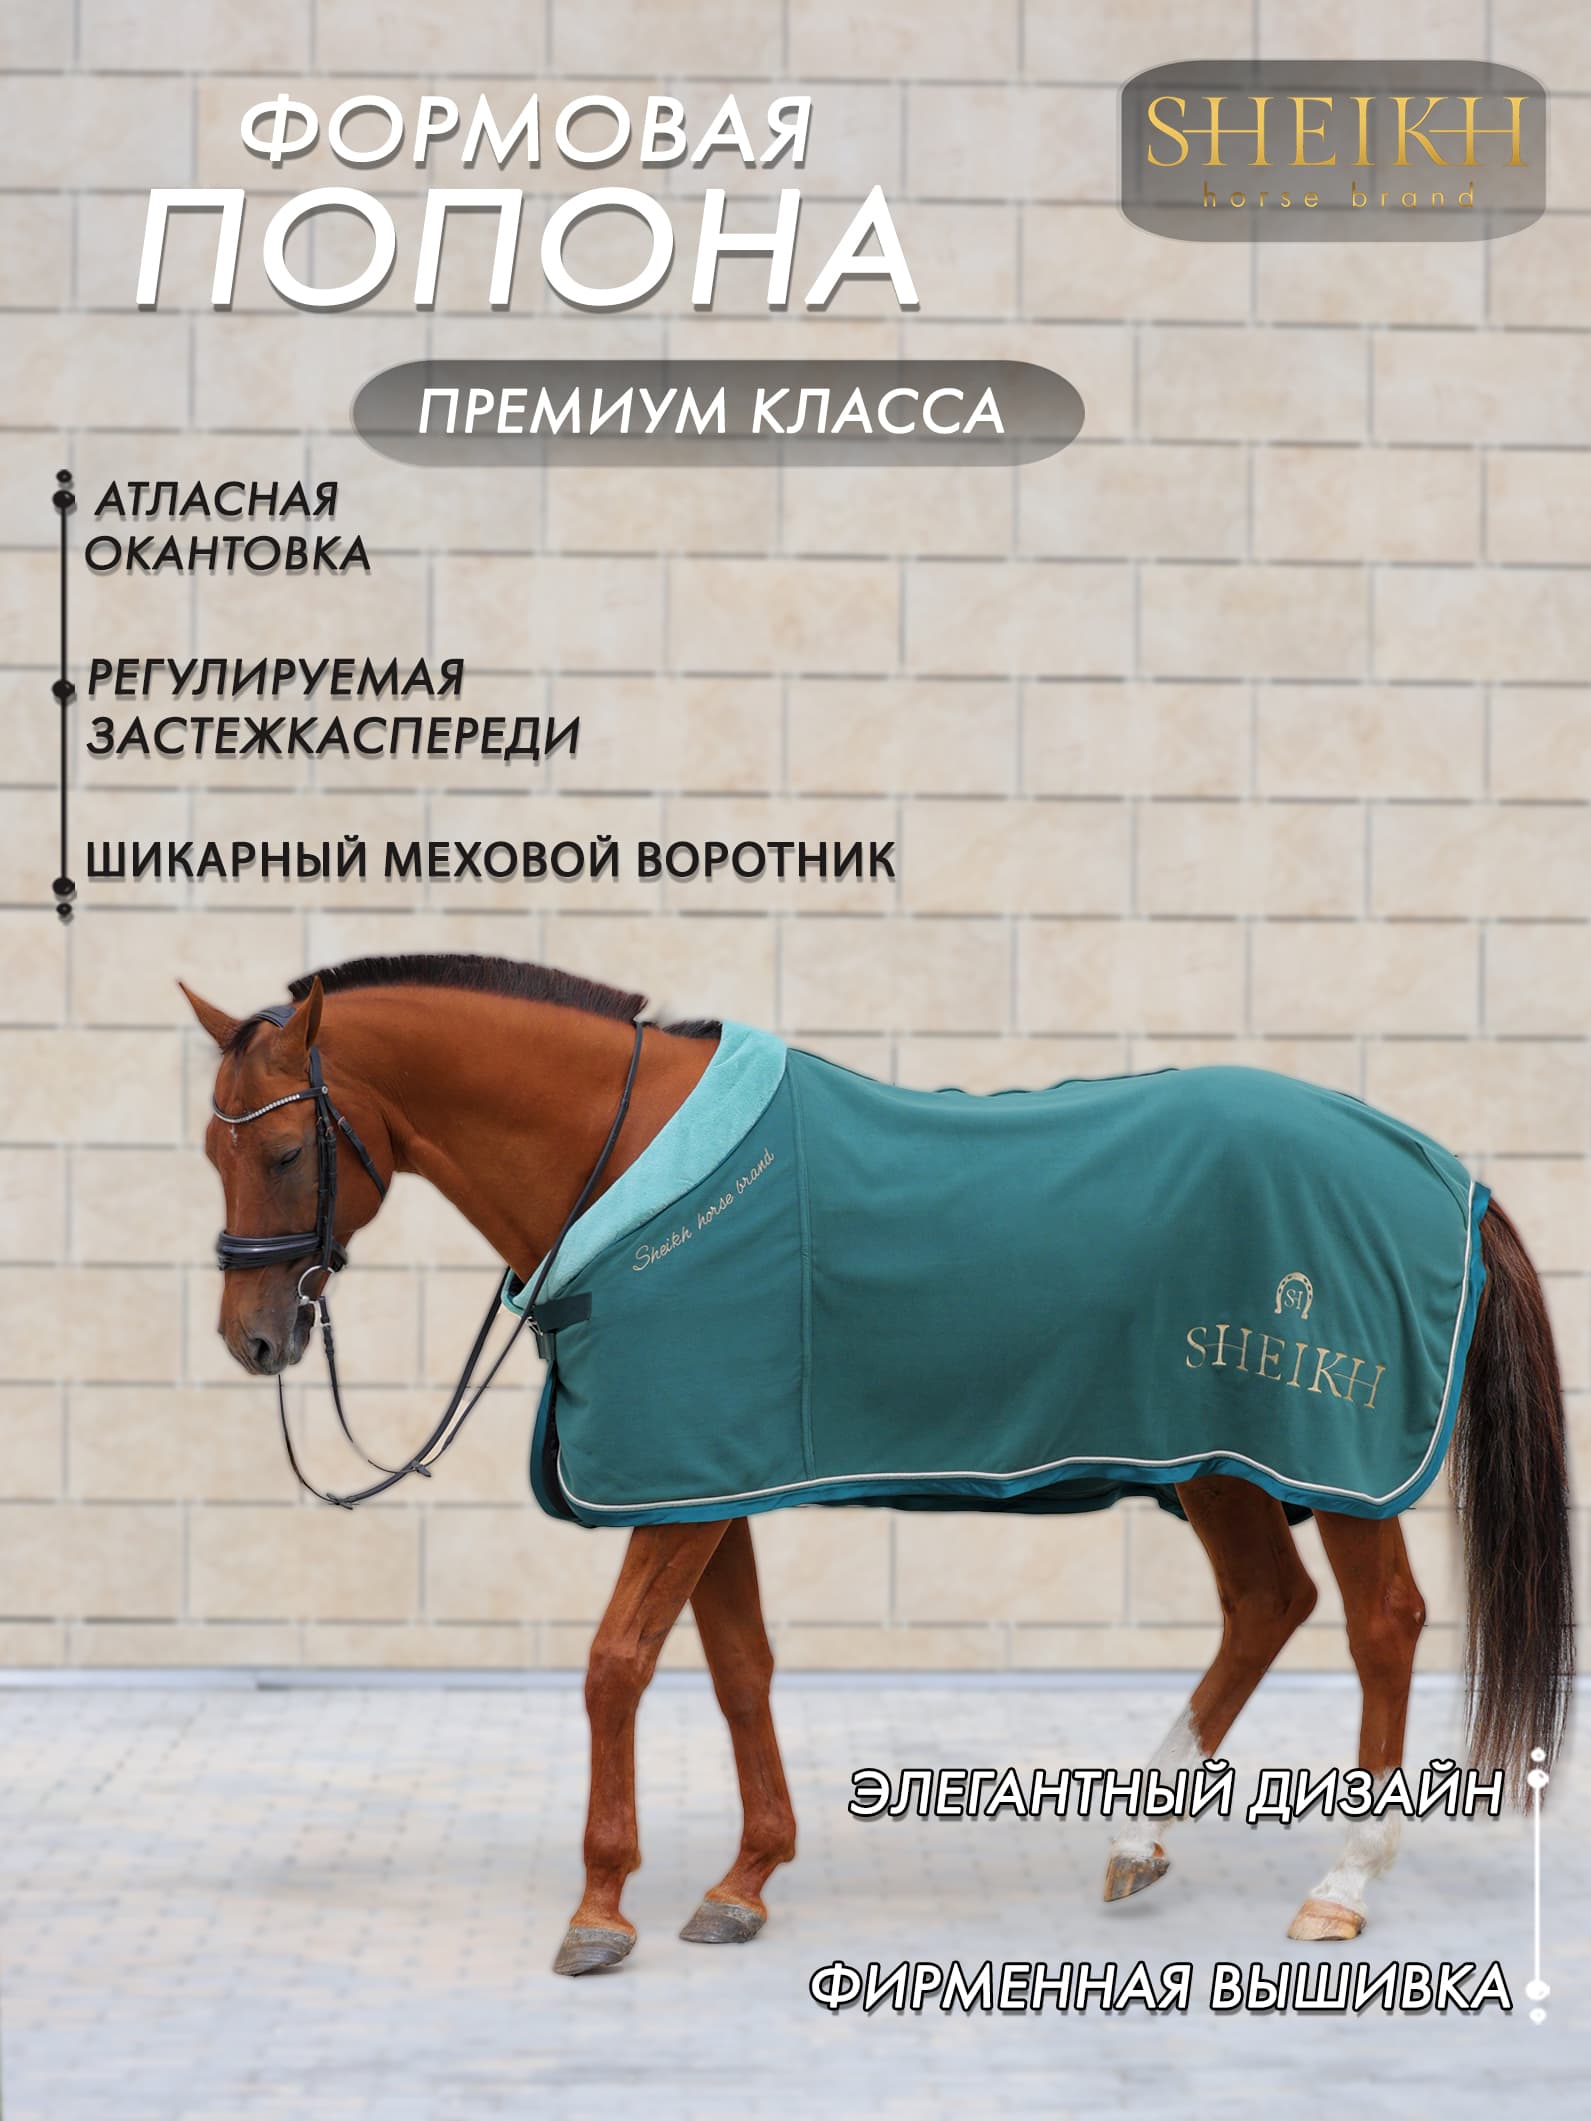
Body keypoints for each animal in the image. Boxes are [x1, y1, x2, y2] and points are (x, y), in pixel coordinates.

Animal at [182, 952, 1575, 1977]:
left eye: (290, 1152)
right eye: (211, 1151)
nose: (254, 1339)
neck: (625, 1160)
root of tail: (1433, 1165)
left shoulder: (681, 1490)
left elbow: (616, 1668)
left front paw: (599, 1909)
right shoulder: (710, 1480)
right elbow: (737, 1670)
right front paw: (744, 1882)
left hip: (1329, 1461)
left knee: (1381, 1626)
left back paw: (1341, 1885)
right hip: (1217, 1459)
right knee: (1265, 1605)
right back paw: (1140, 1840)